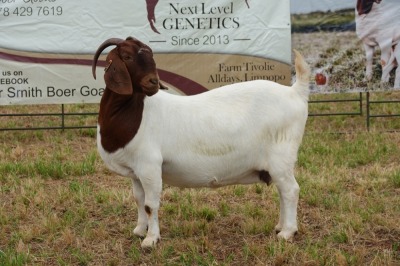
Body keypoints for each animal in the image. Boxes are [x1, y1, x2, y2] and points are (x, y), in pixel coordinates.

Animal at [92, 36, 310, 248]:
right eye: (127, 56)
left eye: (151, 56)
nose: (153, 82)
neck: (136, 112)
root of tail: (295, 92)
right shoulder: (136, 172)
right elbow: (139, 200)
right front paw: (139, 230)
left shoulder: (150, 166)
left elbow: (150, 205)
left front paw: (151, 239)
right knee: (282, 191)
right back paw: (280, 226)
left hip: (281, 157)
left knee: (290, 190)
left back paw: (287, 233)